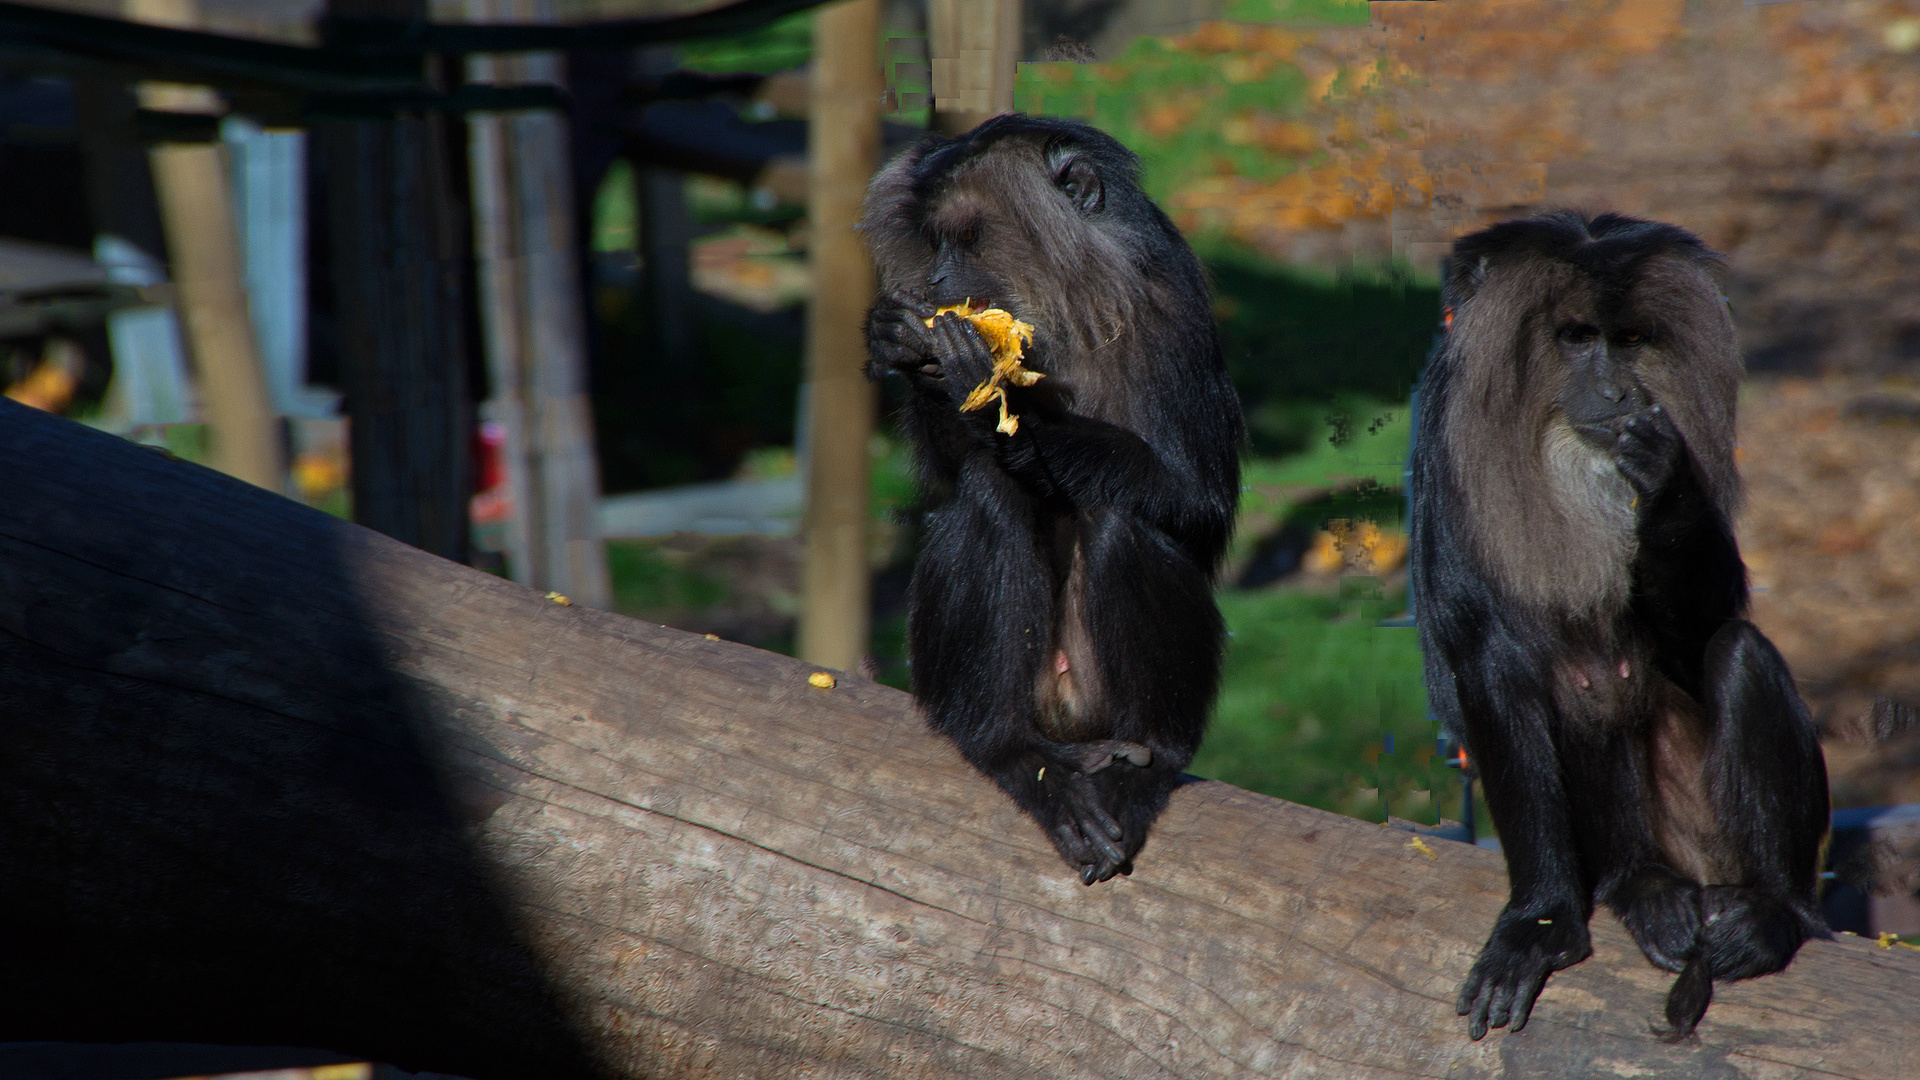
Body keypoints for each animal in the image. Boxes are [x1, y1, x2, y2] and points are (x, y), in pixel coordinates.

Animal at [860, 113, 1244, 883]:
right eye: (935, 244)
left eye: (967, 238)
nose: (938, 280)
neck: (1071, 306)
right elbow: (957, 476)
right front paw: (911, 350)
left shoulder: (1172, 309)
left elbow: (1199, 502)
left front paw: (1005, 405)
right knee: (990, 491)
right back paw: (1011, 748)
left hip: (1098, 700)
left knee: (1122, 521)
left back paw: (1143, 760)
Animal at [1413, 210, 1827, 1037]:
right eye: (1576, 338)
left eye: (1630, 340)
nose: (1616, 389)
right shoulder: (1452, 460)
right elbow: (1490, 661)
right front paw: (1539, 925)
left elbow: (1709, 624)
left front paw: (1663, 486)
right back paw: (1642, 888)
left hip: (1712, 834)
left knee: (1738, 654)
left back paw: (1774, 913)